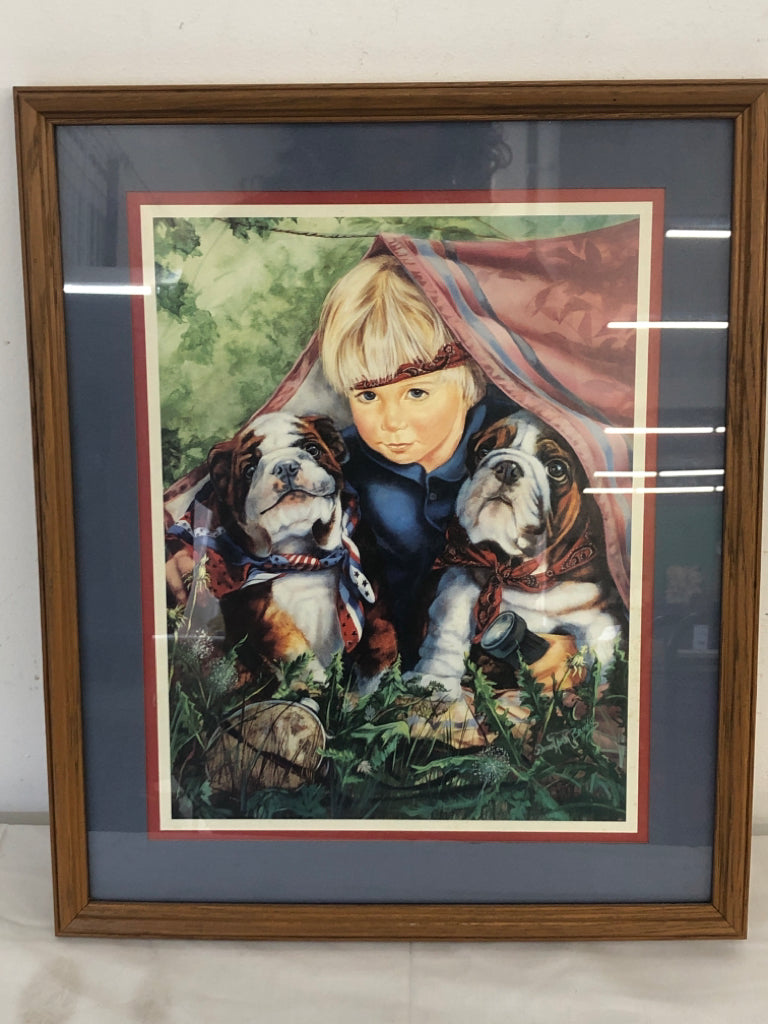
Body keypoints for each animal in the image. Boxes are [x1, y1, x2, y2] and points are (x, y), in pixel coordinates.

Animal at [166, 411, 397, 692]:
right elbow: (291, 645)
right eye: (249, 470)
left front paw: (366, 690)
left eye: (312, 449)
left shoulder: (375, 595)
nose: (285, 466)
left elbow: (381, 641)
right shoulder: (262, 612)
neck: (304, 555)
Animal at [415, 411, 626, 700]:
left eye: (556, 469)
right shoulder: (458, 581)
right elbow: (448, 628)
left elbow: (601, 650)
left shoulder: (597, 613)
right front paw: (436, 682)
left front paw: (597, 694)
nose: (508, 467)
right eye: (483, 450)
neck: (520, 571)